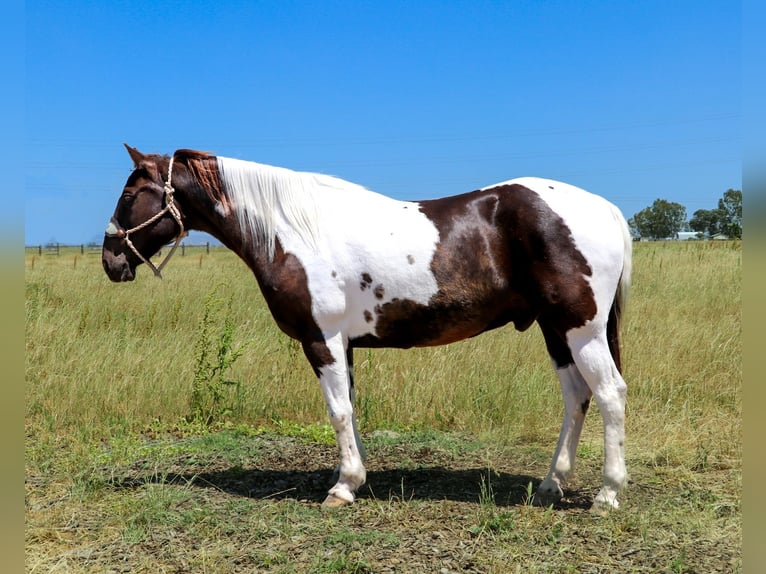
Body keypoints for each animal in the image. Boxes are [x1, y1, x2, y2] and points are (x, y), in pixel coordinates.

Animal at [102, 144, 632, 511]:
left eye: (129, 194)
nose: (110, 261)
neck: (293, 232)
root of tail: (604, 208)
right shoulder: (346, 345)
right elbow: (351, 412)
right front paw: (354, 478)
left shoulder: (322, 340)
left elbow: (337, 413)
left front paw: (341, 488)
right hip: (555, 329)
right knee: (576, 396)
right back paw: (550, 485)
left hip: (580, 329)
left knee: (609, 394)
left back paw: (607, 494)